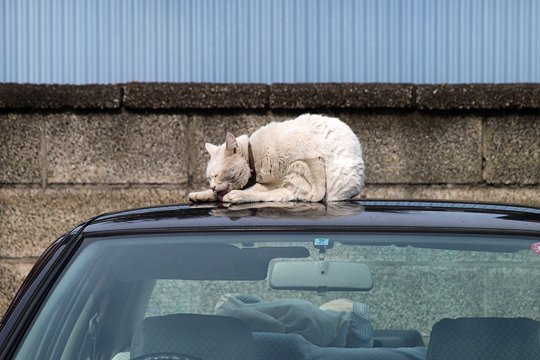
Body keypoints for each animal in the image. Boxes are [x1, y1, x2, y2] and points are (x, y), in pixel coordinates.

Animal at [188, 114, 364, 204]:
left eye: (216, 175)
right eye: (208, 178)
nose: (212, 186)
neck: (255, 157)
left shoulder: (311, 154)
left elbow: (319, 184)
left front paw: (315, 196)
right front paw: (202, 194)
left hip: (298, 168)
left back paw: (235, 196)